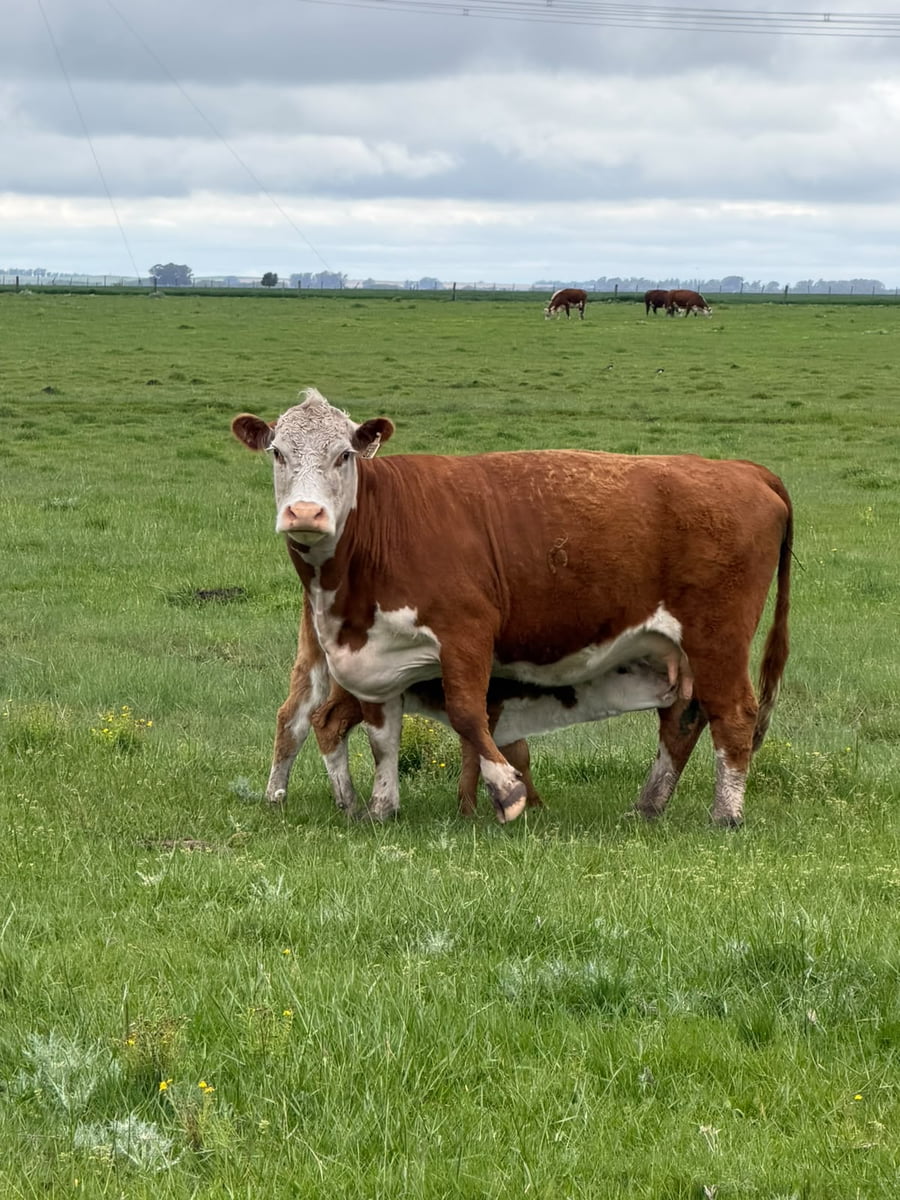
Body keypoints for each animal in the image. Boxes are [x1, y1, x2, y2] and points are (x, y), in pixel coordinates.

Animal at [232, 387, 792, 827]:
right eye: (277, 453)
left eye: (344, 454)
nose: (306, 513)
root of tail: (744, 469)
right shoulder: (373, 655)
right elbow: (381, 734)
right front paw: (380, 808)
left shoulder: (467, 632)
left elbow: (467, 715)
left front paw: (507, 793)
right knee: (683, 719)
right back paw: (648, 806)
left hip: (715, 638)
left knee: (733, 713)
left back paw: (725, 815)